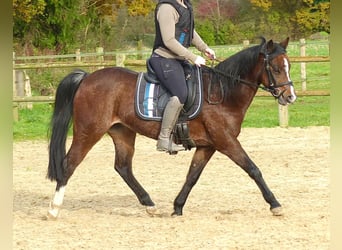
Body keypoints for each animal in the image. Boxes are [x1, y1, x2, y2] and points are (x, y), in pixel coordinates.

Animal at [46, 36, 296, 219]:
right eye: (276, 68)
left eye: (289, 66)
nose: (290, 96)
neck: (222, 93)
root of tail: (87, 77)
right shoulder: (226, 141)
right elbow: (253, 169)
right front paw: (275, 204)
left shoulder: (208, 146)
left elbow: (192, 176)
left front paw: (177, 207)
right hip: (89, 131)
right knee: (69, 163)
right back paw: (54, 208)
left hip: (122, 132)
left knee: (123, 167)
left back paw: (149, 204)